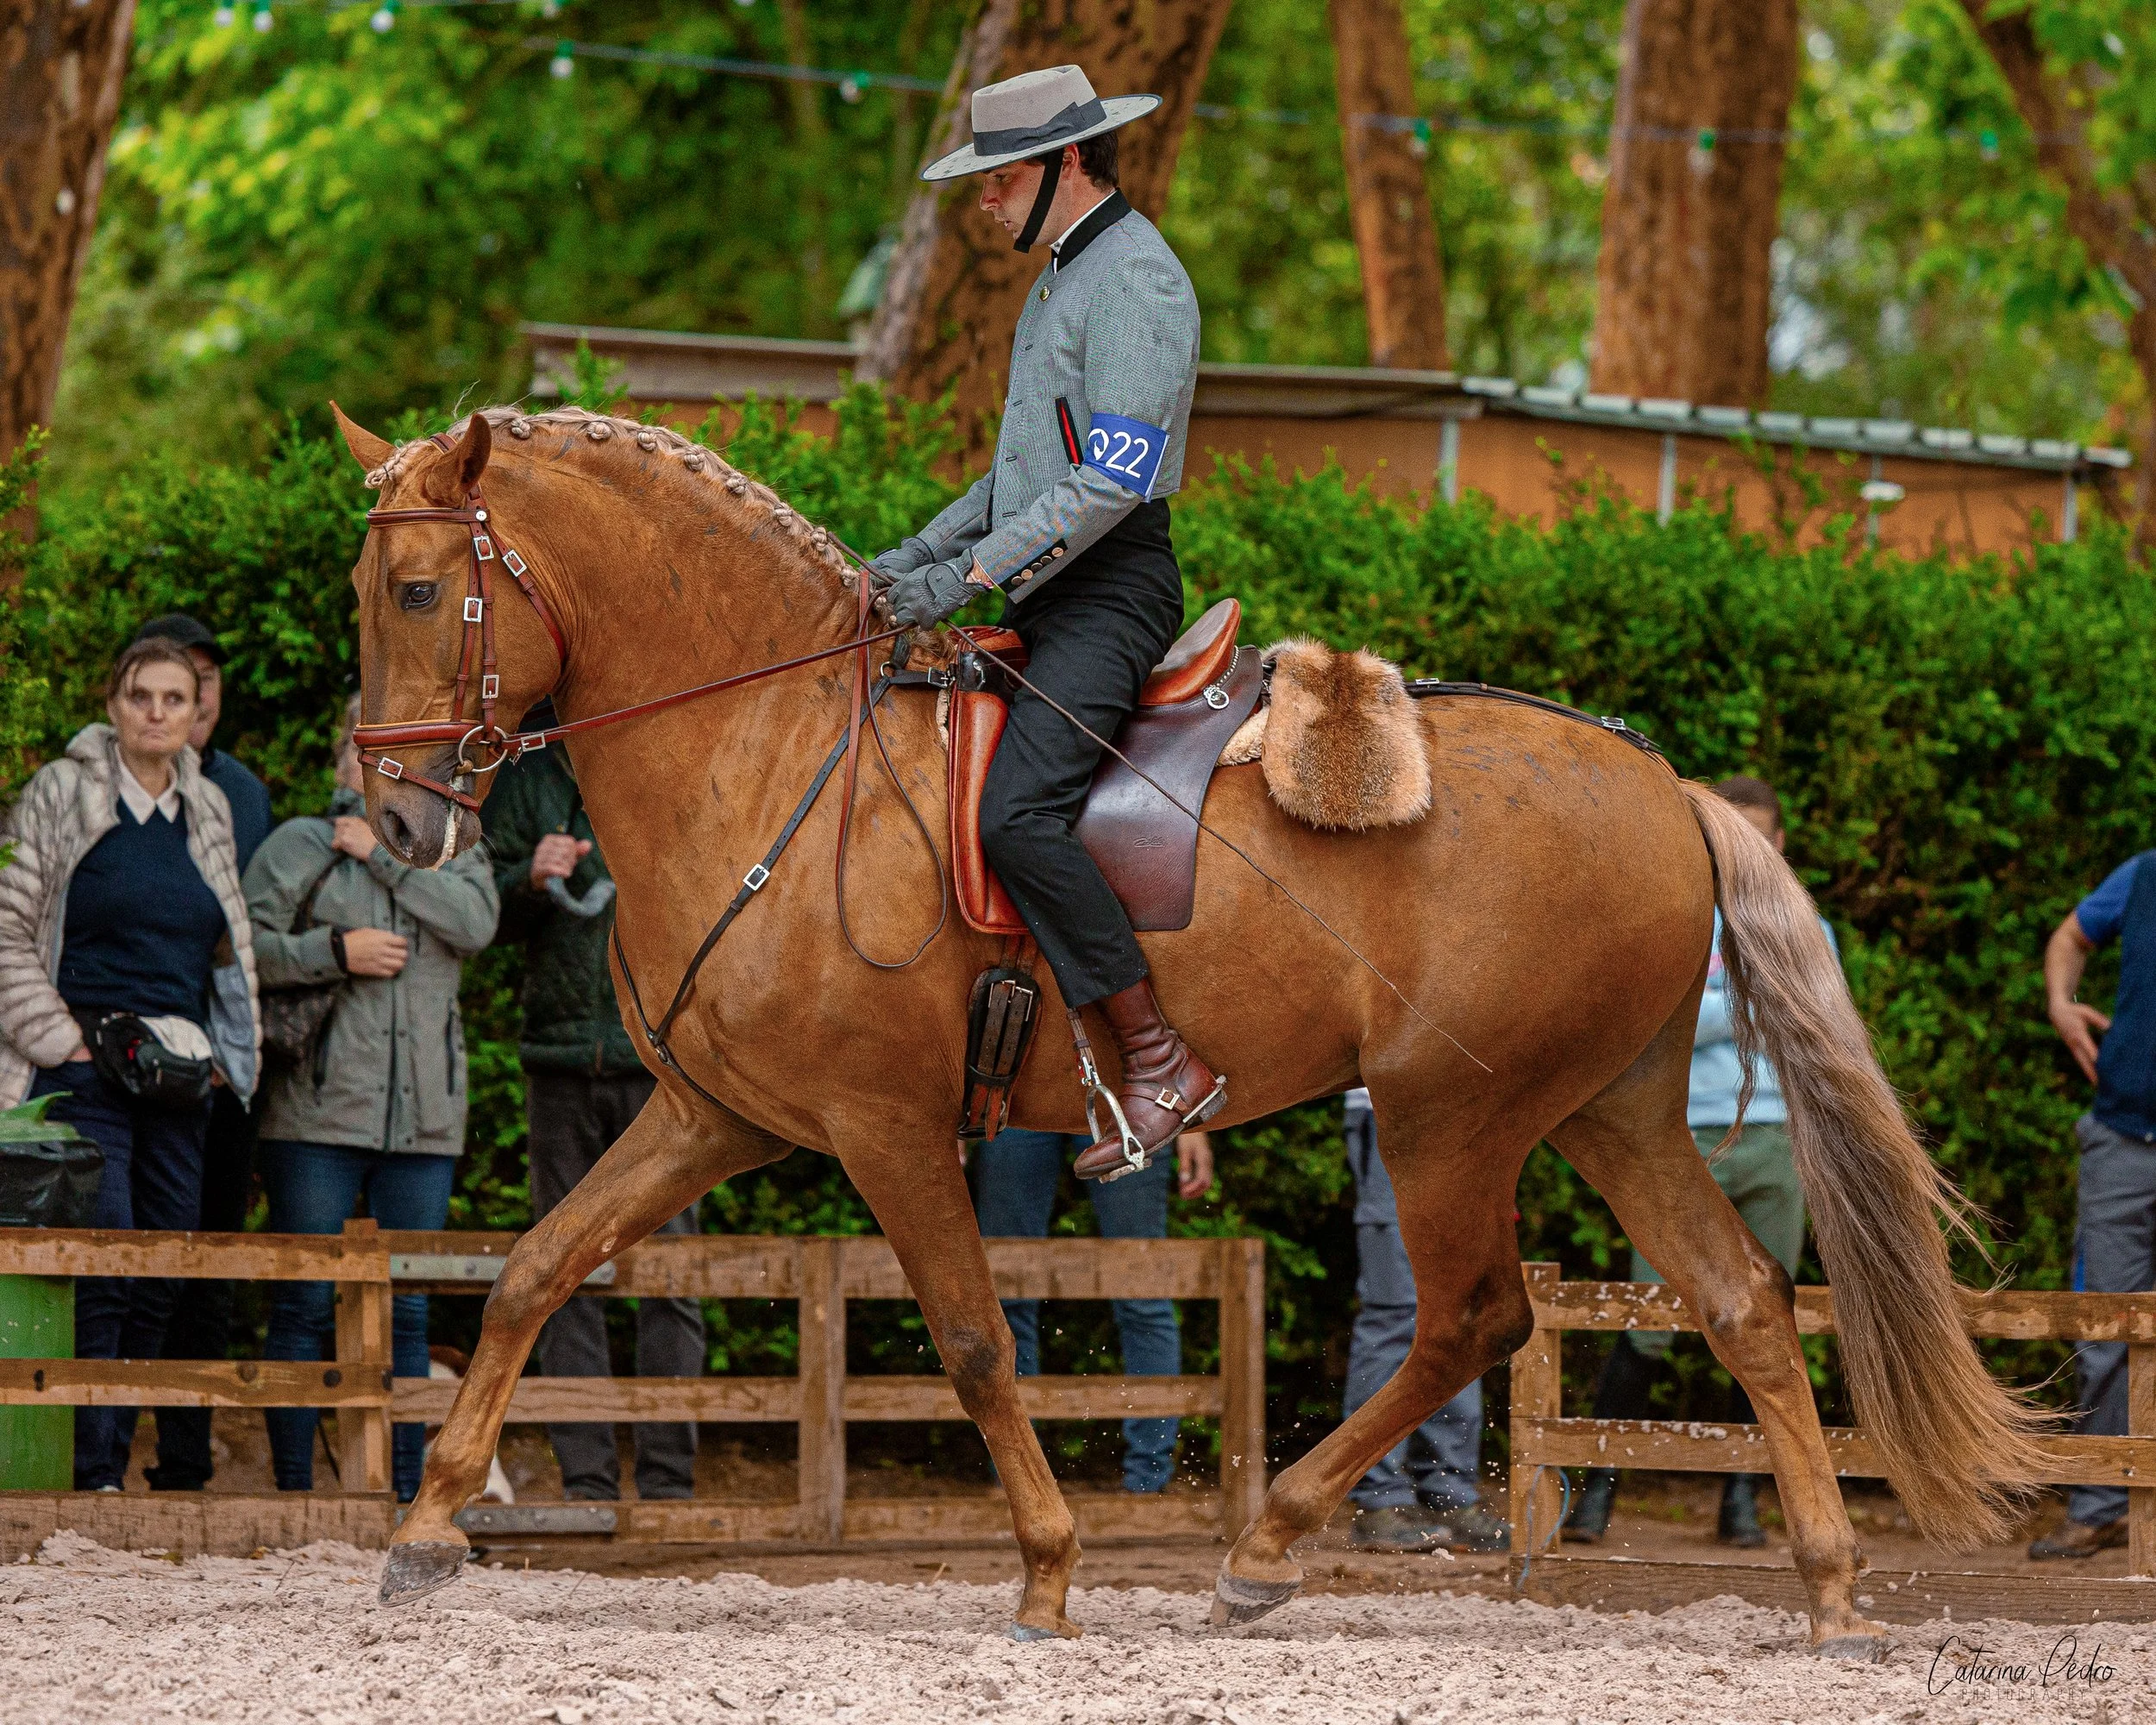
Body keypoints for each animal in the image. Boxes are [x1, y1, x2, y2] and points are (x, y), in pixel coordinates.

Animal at [337, 402, 2045, 1656]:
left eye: (419, 592)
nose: (398, 819)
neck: (769, 749)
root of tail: (1665, 786)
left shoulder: (888, 1132)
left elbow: (973, 1339)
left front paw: (1045, 1571)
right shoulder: (717, 1115)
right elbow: (534, 1266)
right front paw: (426, 1527)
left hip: (1448, 1118)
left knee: (1474, 1319)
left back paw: (1268, 1543)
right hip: (1608, 1107)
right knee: (1743, 1300)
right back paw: (1826, 1588)